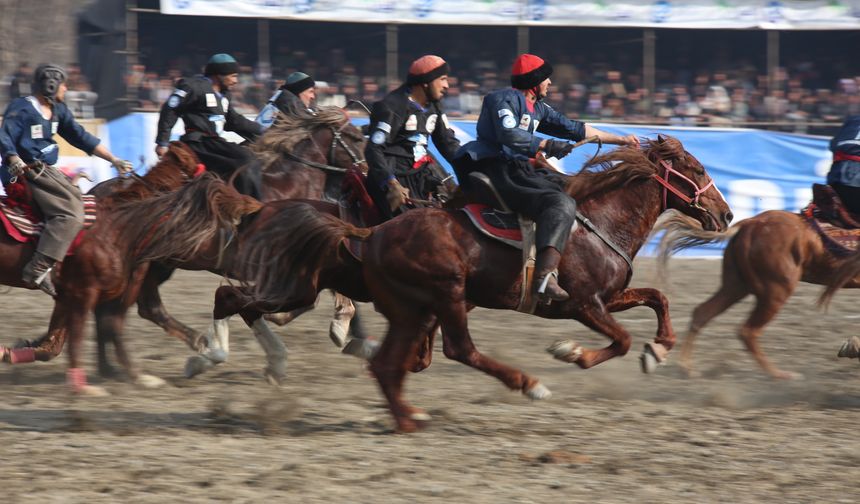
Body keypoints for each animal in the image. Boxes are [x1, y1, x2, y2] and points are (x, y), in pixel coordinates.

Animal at [237, 136, 732, 432]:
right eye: (694, 167)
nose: (726, 214)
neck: (599, 221)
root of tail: (372, 234)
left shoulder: (610, 297)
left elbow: (658, 299)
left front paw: (658, 350)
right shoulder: (583, 303)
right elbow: (622, 339)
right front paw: (571, 352)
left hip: (411, 308)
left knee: (388, 364)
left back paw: (407, 417)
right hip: (447, 294)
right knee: (458, 349)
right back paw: (527, 384)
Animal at [652, 206, 860, 378]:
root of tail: (750, 223)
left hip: (736, 285)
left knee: (702, 313)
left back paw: (686, 368)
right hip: (776, 290)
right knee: (748, 331)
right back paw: (780, 375)